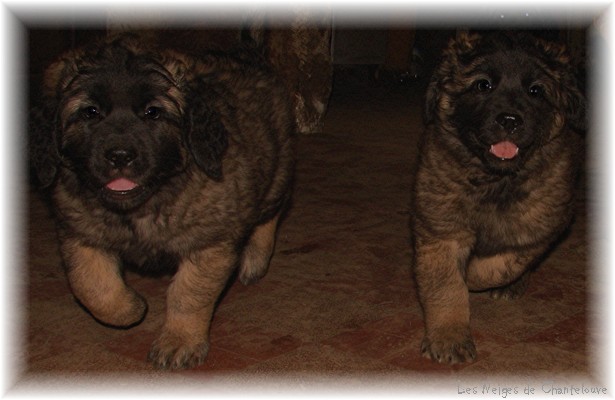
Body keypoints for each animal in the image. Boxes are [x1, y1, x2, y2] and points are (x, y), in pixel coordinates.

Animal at [30, 34, 296, 368]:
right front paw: (130, 308)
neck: (141, 208)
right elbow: (91, 286)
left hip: (276, 170)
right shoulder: (79, 231)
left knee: (270, 211)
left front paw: (179, 341)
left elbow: (189, 294)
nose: (120, 156)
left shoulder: (210, 240)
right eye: (90, 112)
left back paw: (255, 259)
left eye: (152, 112)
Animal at [414, 30, 584, 362]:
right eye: (483, 85)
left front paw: (476, 275)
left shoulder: (543, 225)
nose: (509, 120)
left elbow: (502, 262)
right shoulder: (442, 228)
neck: (495, 180)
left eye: (535, 90)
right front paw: (448, 337)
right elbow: (445, 285)